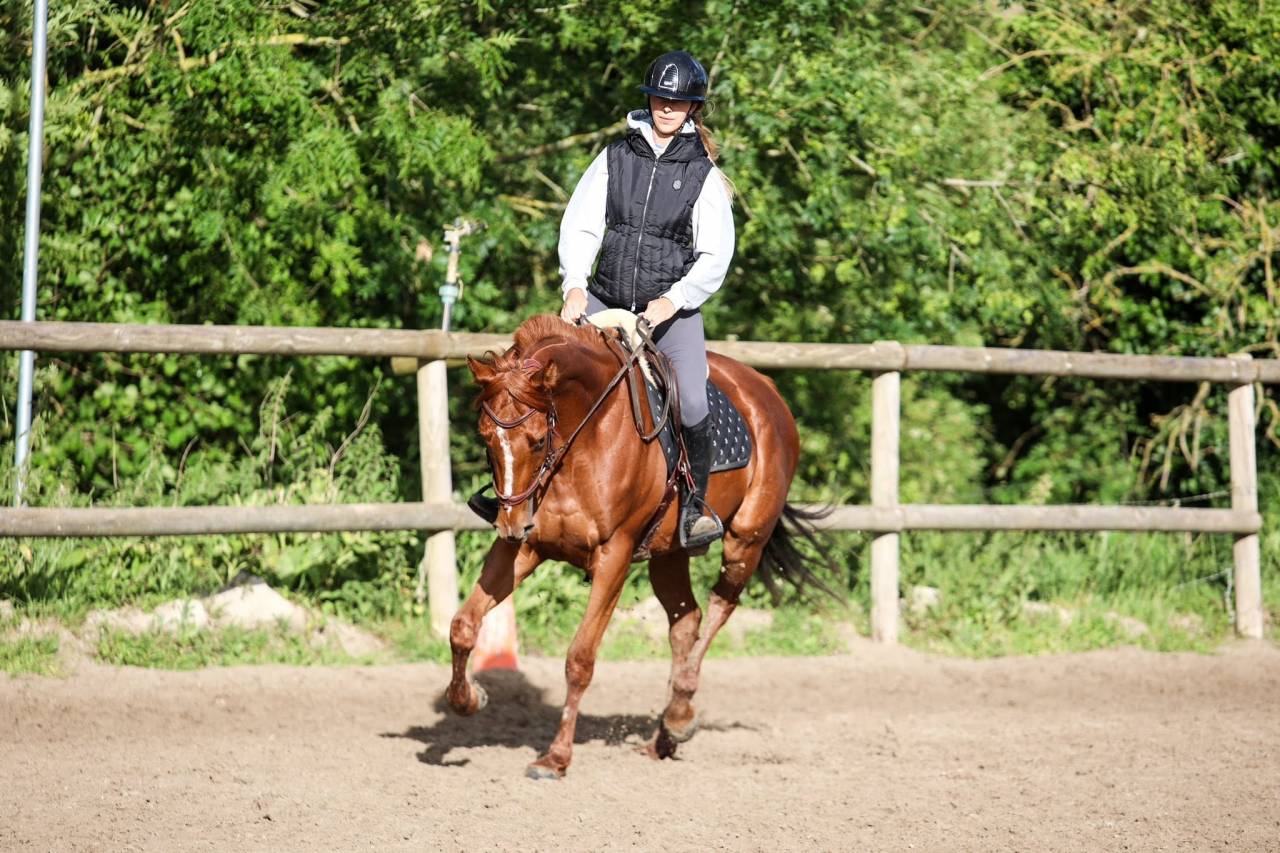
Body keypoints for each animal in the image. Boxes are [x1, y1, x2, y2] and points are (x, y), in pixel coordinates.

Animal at [446, 313, 832, 779]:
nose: (510, 524)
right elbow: (463, 626)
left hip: (747, 540)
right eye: (486, 439)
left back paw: (679, 716)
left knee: (719, 609)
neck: (583, 439)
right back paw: (667, 732)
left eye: (538, 440)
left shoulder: (614, 555)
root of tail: (766, 388)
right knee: (686, 620)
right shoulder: (524, 549)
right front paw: (468, 700)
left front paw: (555, 758)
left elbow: (580, 659)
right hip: (668, 555)